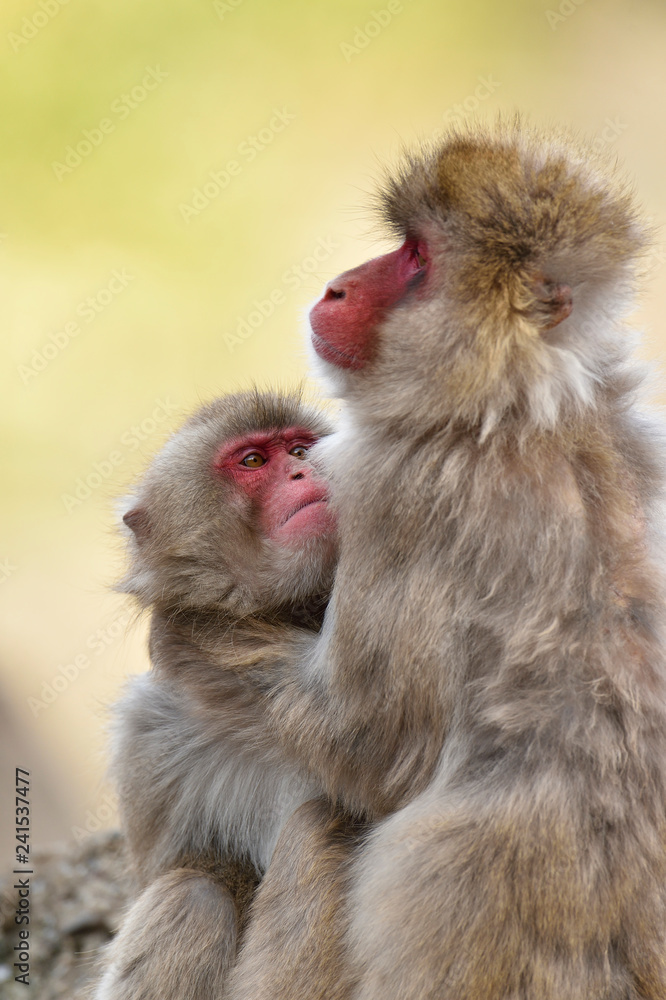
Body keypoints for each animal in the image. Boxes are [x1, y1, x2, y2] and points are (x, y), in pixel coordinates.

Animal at [225, 121, 666, 1000]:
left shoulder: (398, 492)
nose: (336, 289)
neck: (514, 398)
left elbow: (370, 749)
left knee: (324, 818)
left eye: (417, 256)